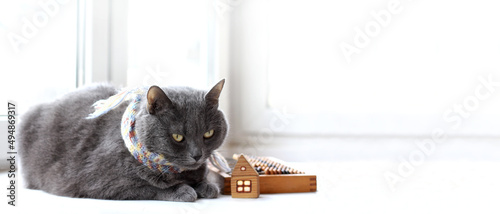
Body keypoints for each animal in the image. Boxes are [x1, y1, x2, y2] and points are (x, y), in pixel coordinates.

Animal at [18, 79, 229, 201]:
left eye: (208, 133)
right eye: (178, 137)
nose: (197, 155)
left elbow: (205, 177)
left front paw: (206, 185)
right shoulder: (100, 181)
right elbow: (149, 187)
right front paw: (182, 190)